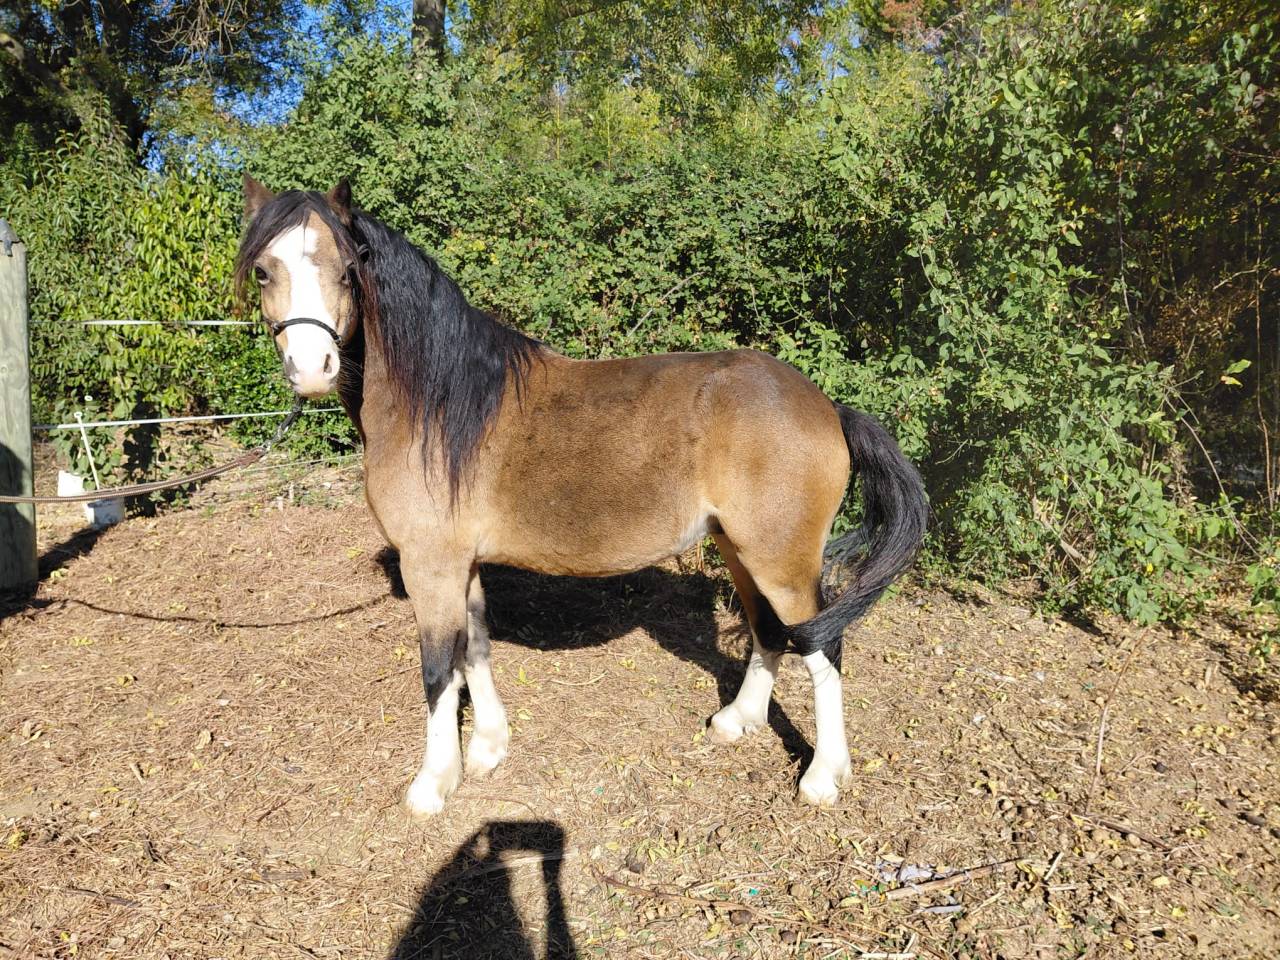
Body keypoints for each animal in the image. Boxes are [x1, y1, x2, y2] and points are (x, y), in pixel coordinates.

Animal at [235, 175, 928, 817]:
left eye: (347, 270)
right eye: (265, 270)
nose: (311, 369)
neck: (438, 406)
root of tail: (829, 408)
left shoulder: (430, 564)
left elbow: (439, 669)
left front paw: (434, 783)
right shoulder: (463, 563)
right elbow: (476, 647)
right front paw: (488, 748)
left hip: (780, 558)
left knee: (822, 646)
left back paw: (822, 778)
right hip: (741, 548)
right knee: (768, 631)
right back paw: (738, 721)